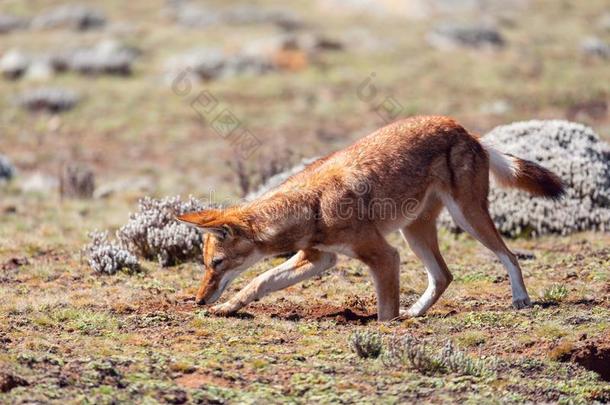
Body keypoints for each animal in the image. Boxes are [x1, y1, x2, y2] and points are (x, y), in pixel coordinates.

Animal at [175, 115, 560, 320]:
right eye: (206, 264)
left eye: (216, 264)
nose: (198, 299)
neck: (313, 204)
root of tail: (465, 129)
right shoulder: (320, 258)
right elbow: (260, 281)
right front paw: (228, 308)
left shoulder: (384, 256)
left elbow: (385, 310)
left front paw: (384, 329)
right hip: (415, 232)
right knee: (444, 276)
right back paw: (414, 314)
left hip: (467, 218)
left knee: (509, 256)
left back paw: (521, 300)